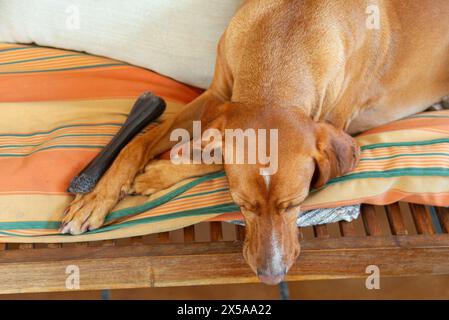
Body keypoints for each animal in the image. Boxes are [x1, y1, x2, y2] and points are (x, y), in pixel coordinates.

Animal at [60, 0, 448, 284]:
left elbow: (212, 156)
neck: (286, 39)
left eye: (296, 204)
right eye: (242, 205)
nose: (271, 277)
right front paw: (94, 199)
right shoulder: (215, 97)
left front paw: (157, 174)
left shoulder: (335, 123)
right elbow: (138, 143)